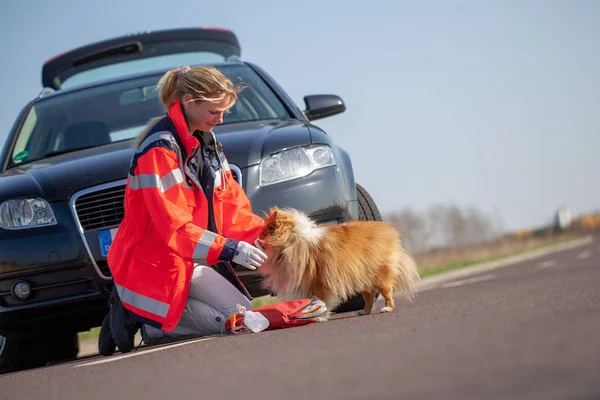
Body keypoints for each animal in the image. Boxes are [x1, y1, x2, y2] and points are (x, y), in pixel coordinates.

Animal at [258, 208, 422, 320]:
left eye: (264, 233)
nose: (257, 237)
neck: (291, 240)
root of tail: (388, 230)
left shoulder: (318, 282)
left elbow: (323, 301)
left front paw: (321, 317)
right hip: (362, 278)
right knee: (369, 297)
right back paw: (364, 311)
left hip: (380, 275)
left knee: (386, 293)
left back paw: (387, 308)